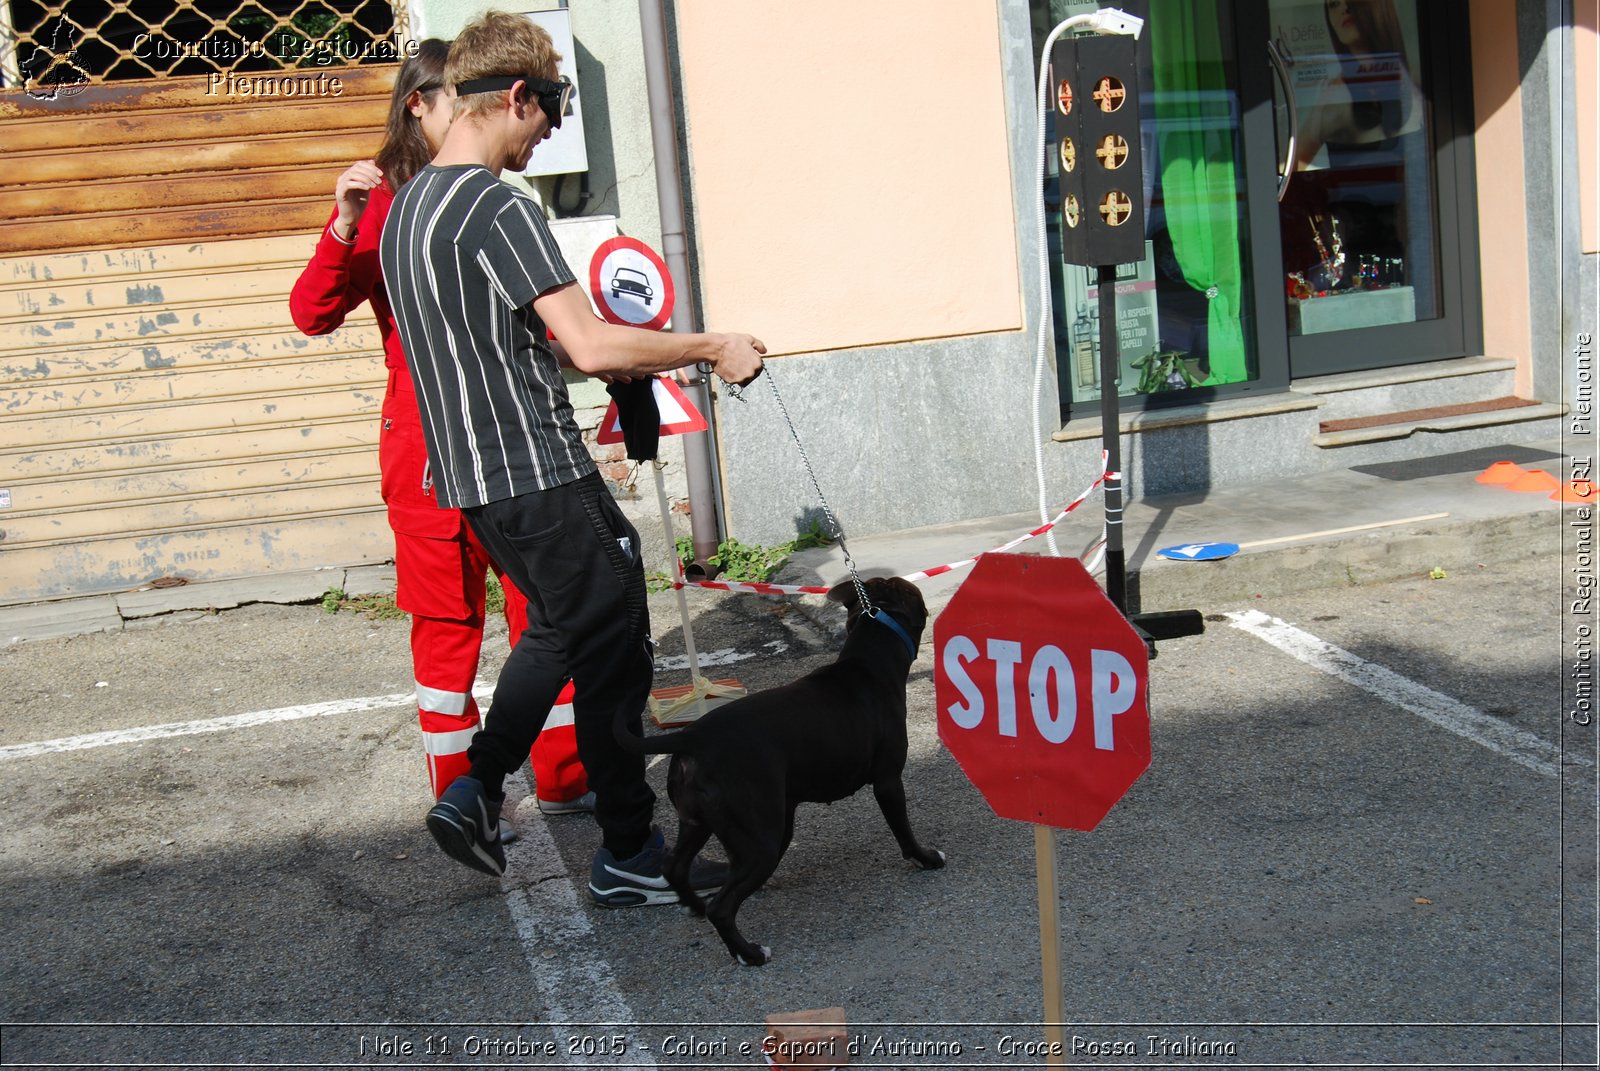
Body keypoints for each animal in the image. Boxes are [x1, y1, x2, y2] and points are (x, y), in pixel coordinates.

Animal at [608, 576, 934, 960]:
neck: (868, 662)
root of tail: (691, 739)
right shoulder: (887, 781)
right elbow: (904, 830)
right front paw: (925, 858)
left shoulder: (785, 811)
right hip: (758, 842)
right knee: (723, 906)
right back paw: (748, 953)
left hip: (698, 822)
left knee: (674, 867)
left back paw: (694, 906)